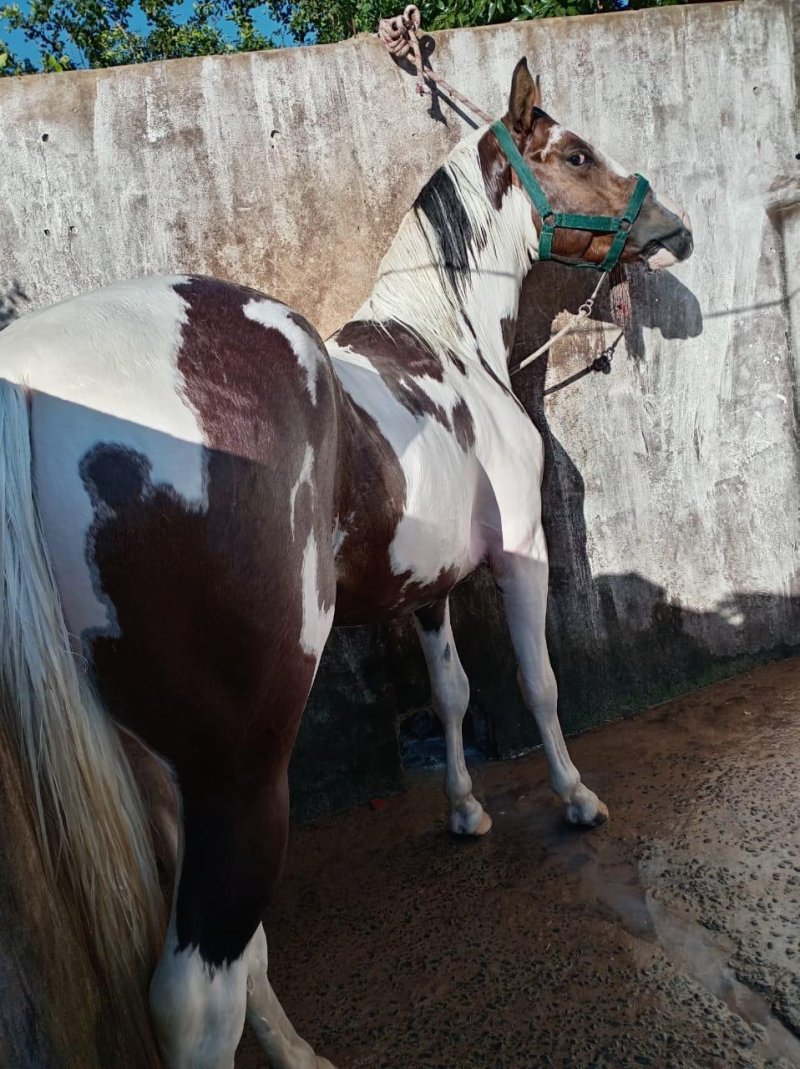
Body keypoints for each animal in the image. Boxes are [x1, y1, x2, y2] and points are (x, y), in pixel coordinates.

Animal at [0, 57, 692, 1068]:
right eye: (573, 153)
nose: (673, 230)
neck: (449, 341)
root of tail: (30, 376)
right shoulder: (520, 553)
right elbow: (537, 681)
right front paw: (576, 797)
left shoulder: (427, 588)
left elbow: (451, 695)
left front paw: (465, 811)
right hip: (242, 765)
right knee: (197, 989)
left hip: (157, 766)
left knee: (236, 954)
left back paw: (297, 1050)